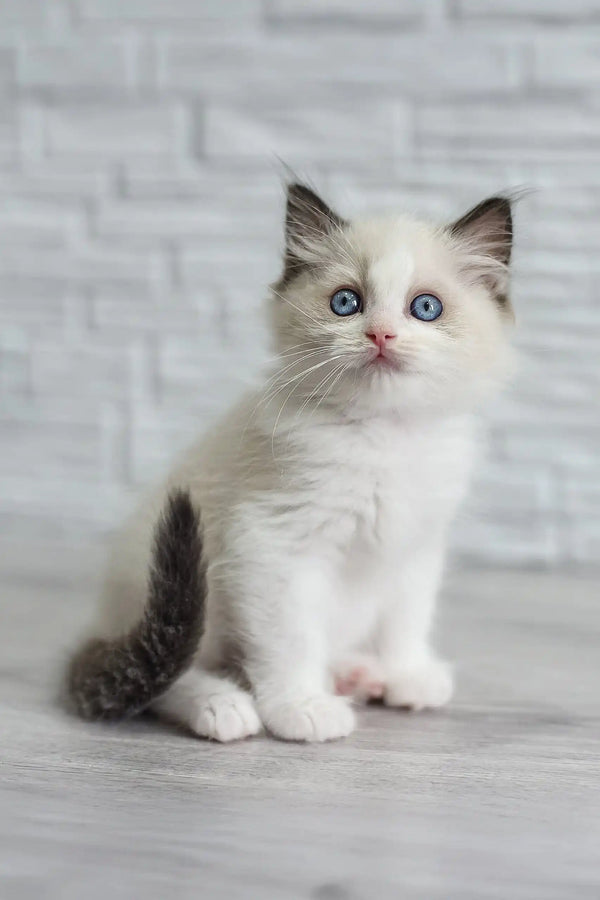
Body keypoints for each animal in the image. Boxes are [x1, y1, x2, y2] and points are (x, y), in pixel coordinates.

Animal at [68, 185, 512, 744]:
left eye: (425, 308)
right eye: (346, 303)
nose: (381, 336)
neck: (383, 437)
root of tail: (101, 623)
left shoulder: (415, 548)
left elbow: (406, 620)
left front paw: (405, 674)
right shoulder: (272, 544)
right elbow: (292, 638)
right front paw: (302, 708)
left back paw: (355, 673)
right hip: (184, 581)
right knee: (169, 672)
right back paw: (224, 705)